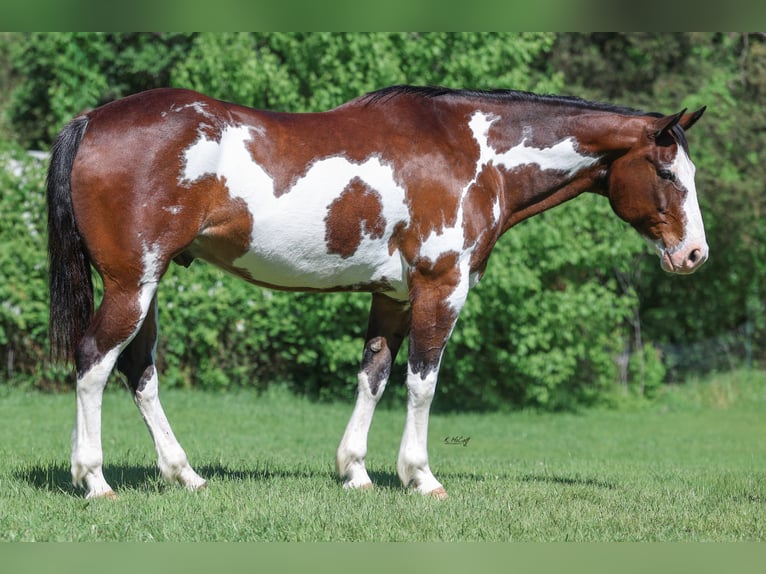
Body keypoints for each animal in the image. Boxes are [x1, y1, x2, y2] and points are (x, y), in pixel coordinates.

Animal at [46, 85, 708, 500]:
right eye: (666, 171)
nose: (694, 255)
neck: (473, 153)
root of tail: (92, 120)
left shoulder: (391, 296)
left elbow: (374, 374)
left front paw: (356, 473)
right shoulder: (441, 288)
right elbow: (422, 382)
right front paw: (420, 477)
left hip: (147, 286)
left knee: (139, 372)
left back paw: (184, 475)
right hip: (132, 286)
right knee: (93, 362)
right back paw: (95, 481)